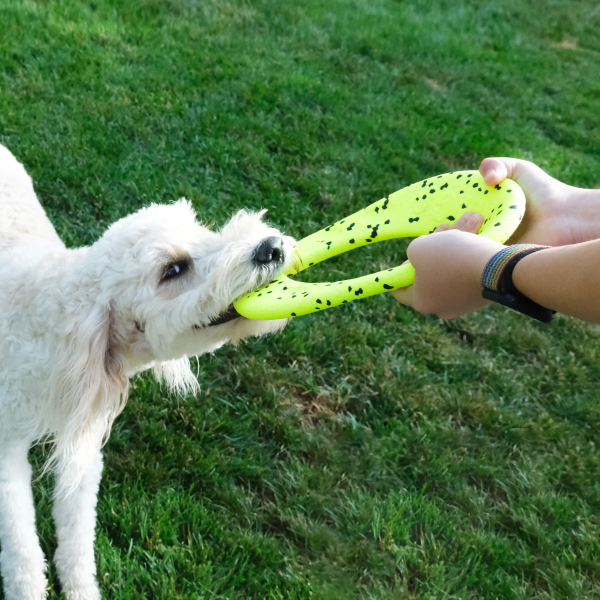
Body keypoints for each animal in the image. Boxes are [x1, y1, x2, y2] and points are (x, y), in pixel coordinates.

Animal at [0, 145, 292, 600]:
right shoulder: (5, 449)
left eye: (202, 228)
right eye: (172, 270)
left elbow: (77, 536)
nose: (272, 246)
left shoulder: (85, 437)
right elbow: (21, 549)